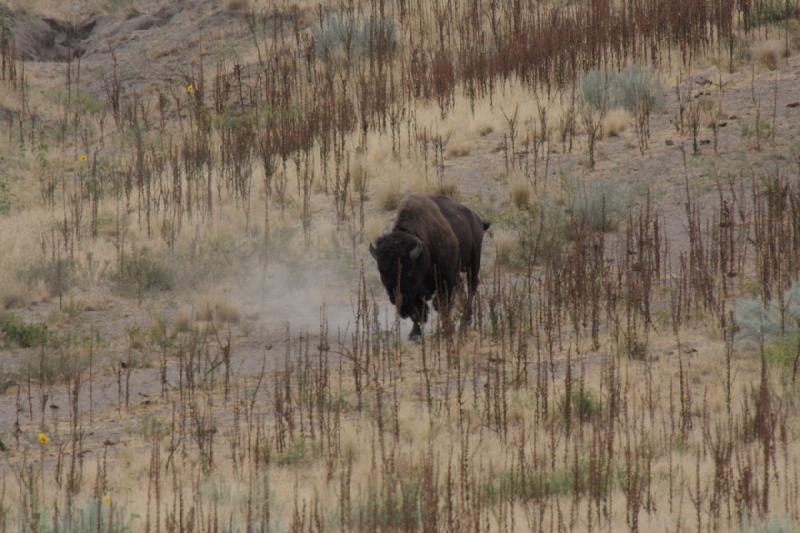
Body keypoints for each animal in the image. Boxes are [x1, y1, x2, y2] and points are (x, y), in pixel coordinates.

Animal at [368, 193, 488, 338]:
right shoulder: (415, 293)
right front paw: (414, 334)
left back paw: (465, 320)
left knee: (471, 285)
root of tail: (477, 219)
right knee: (461, 287)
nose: (399, 299)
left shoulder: (444, 281)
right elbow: (418, 311)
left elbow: (441, 305)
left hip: (473, 261)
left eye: (408, 270)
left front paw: (446, 330)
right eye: (382, 270)